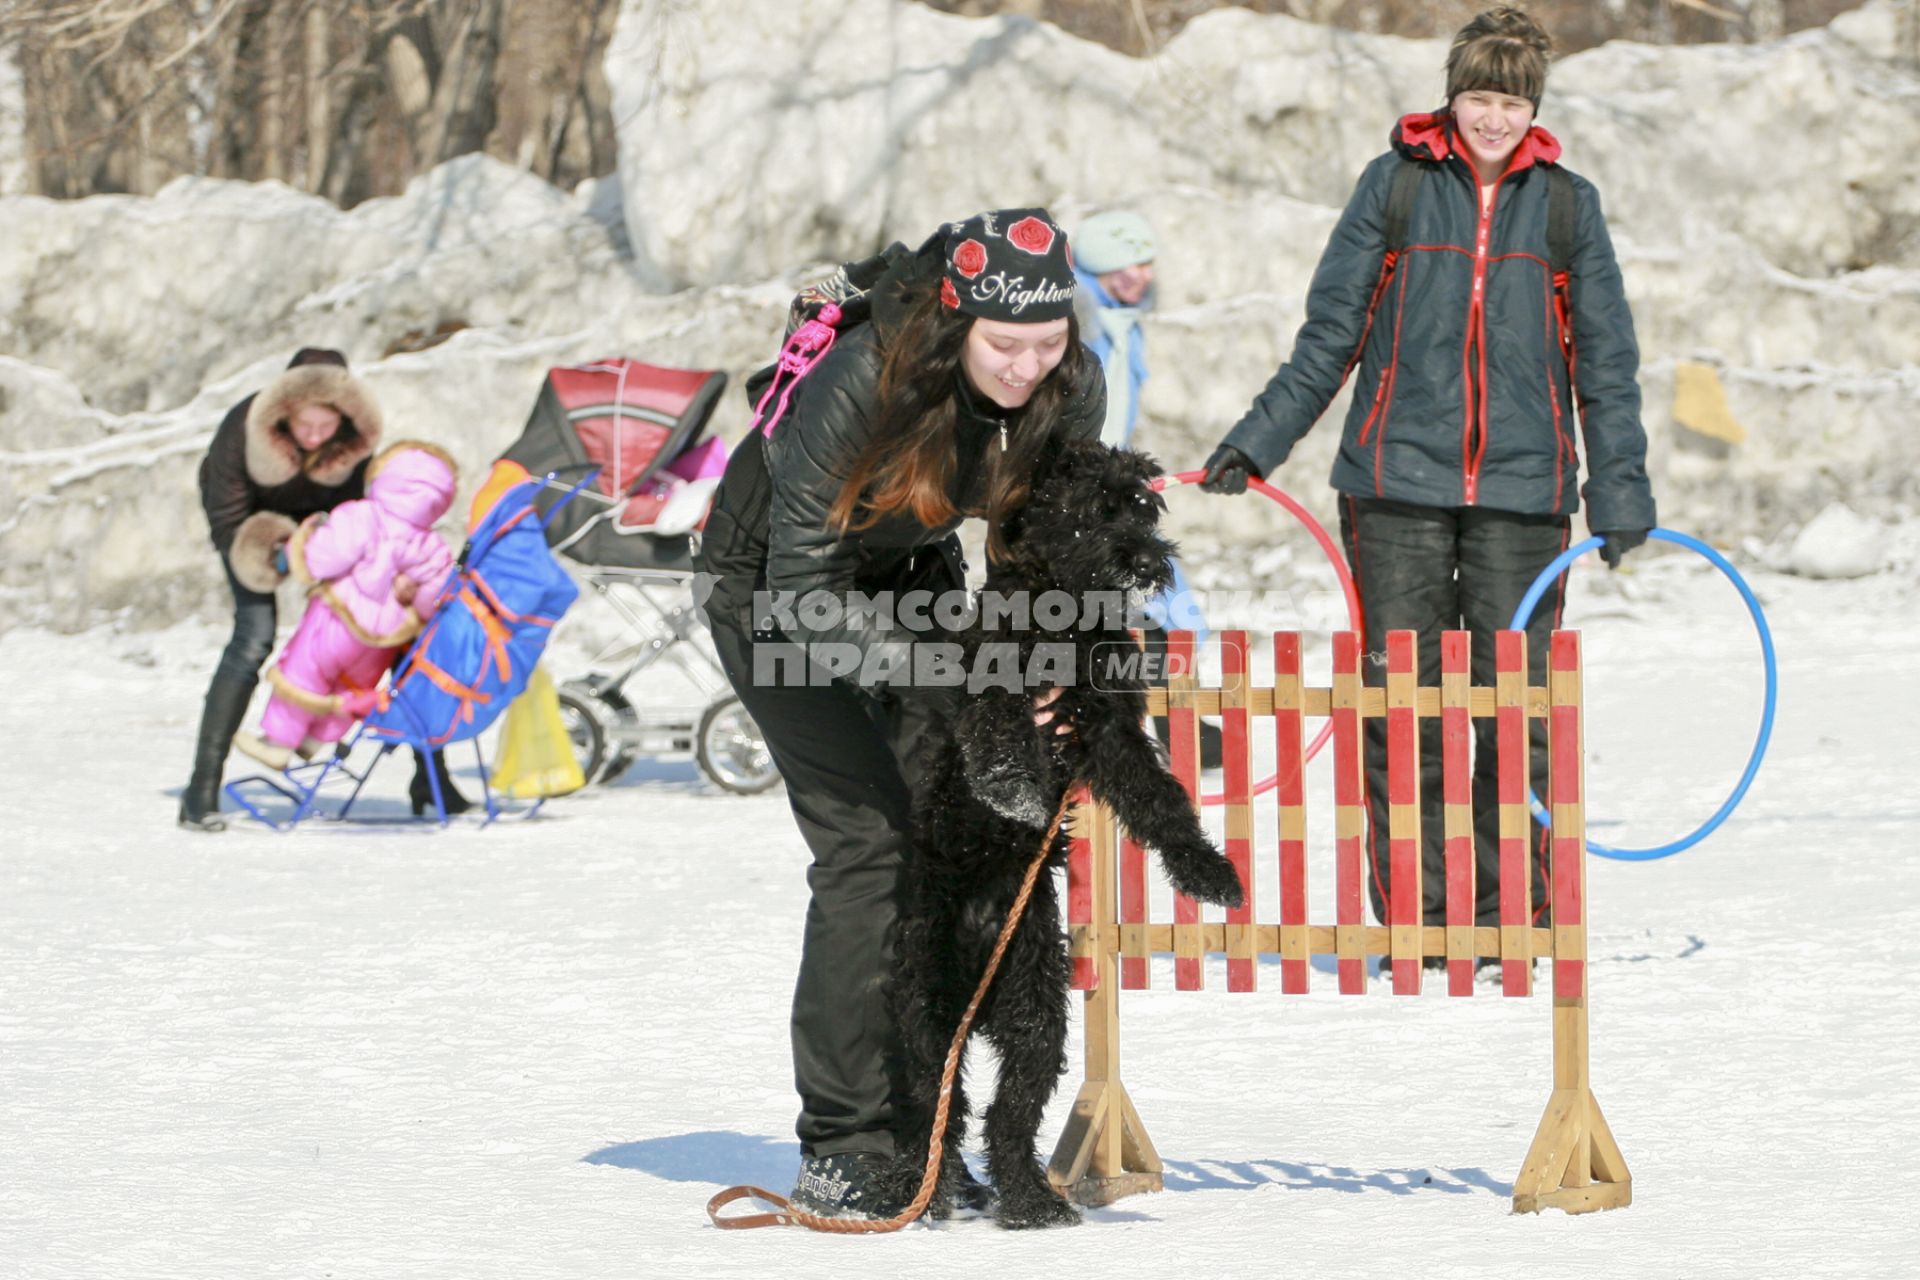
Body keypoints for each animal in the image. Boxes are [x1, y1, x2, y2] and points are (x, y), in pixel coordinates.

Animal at [883, 443, 1244, 1228]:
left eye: (1142, 505)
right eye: (1096, 508)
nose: (1147, 559)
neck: (1067, 616)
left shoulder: (1111, 733)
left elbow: (1161, 801)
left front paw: (1209, 872)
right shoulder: (998, 685)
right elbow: (1000, 732)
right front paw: (1014, 794)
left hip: (1035, 1007)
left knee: (1005, 1114)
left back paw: (1027, 1201)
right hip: (928, 1009)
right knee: (936, 1107)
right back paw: (936, 1196)